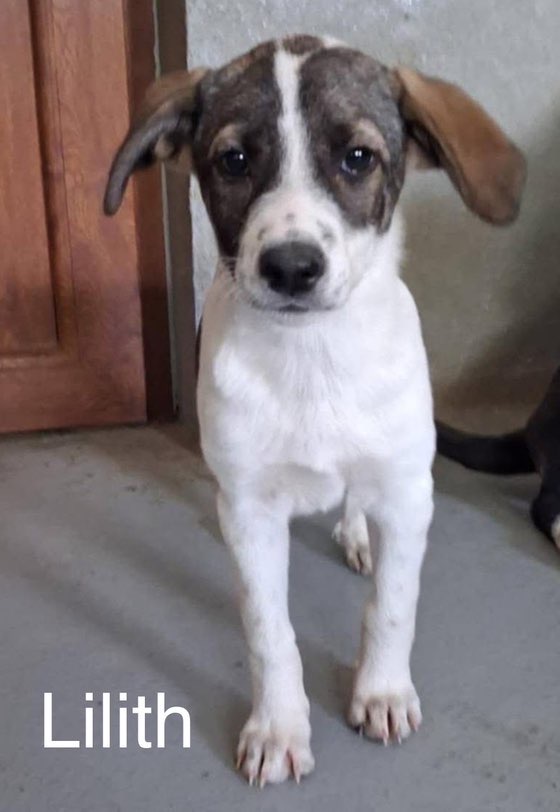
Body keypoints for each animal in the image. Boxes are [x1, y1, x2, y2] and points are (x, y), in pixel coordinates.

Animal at [104, 35, 525, 786]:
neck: (311, 360)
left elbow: (392, 607)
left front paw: (381, 691)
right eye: (233, 160)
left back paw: (357, 533)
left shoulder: (409, 491)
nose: (291, 267)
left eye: (358, 157)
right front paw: (278, 727)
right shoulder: (249, 509)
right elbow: (268, 631)